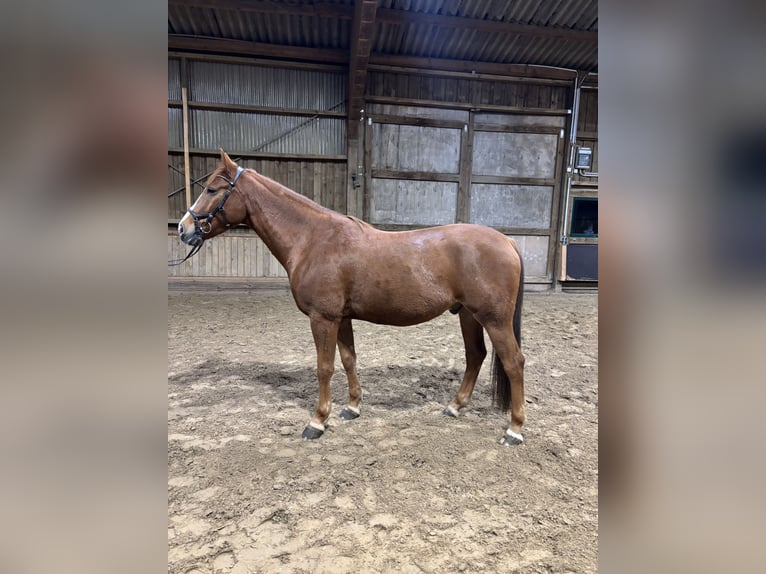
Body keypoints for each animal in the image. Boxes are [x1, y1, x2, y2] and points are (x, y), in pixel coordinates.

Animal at [176, 150, 526, 446]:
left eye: (211, 189)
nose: (183, 228)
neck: (313, 240)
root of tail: (507, 241)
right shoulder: (341, 318)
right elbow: (348, 360)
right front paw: (352, 408)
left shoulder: (323, 318)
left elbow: (324, 368)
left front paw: (317, 422)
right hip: (468, 314)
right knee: (475, 356)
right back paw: (454, 406)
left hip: (494, 319)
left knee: (513, 362)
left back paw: (514, 430)